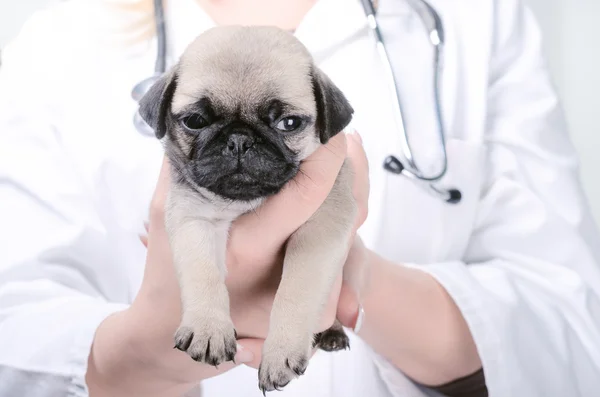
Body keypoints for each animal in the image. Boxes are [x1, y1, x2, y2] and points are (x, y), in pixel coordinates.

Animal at [137, 25, 356, 392]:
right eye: (195, 121)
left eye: (289, 123)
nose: (239, 139)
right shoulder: (194, 218)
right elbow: (203, 273)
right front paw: (209, 328)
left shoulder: (320, 231)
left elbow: (296, 291)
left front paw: (281, 350)